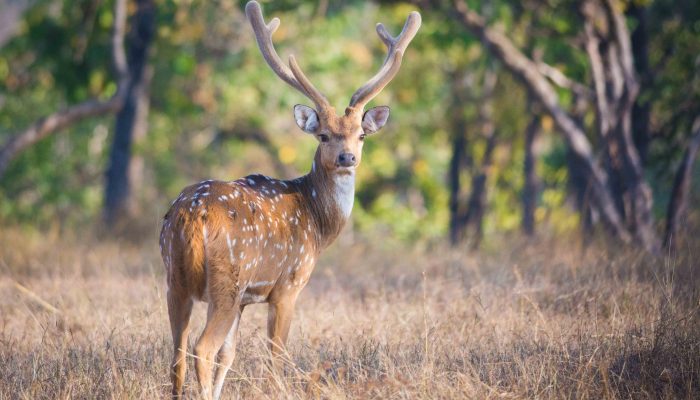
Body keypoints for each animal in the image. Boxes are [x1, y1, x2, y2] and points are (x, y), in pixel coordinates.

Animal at [161, 1, 418, 398]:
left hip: (175, 279)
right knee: (200, 347)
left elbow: (229, 355)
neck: (317, 222)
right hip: (226, 281)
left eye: (361, 135)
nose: (347, 157)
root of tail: (191, 217)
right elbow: (276, 356)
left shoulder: (247, 299)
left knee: (177, 352)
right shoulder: (288, 285)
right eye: (323, 135)